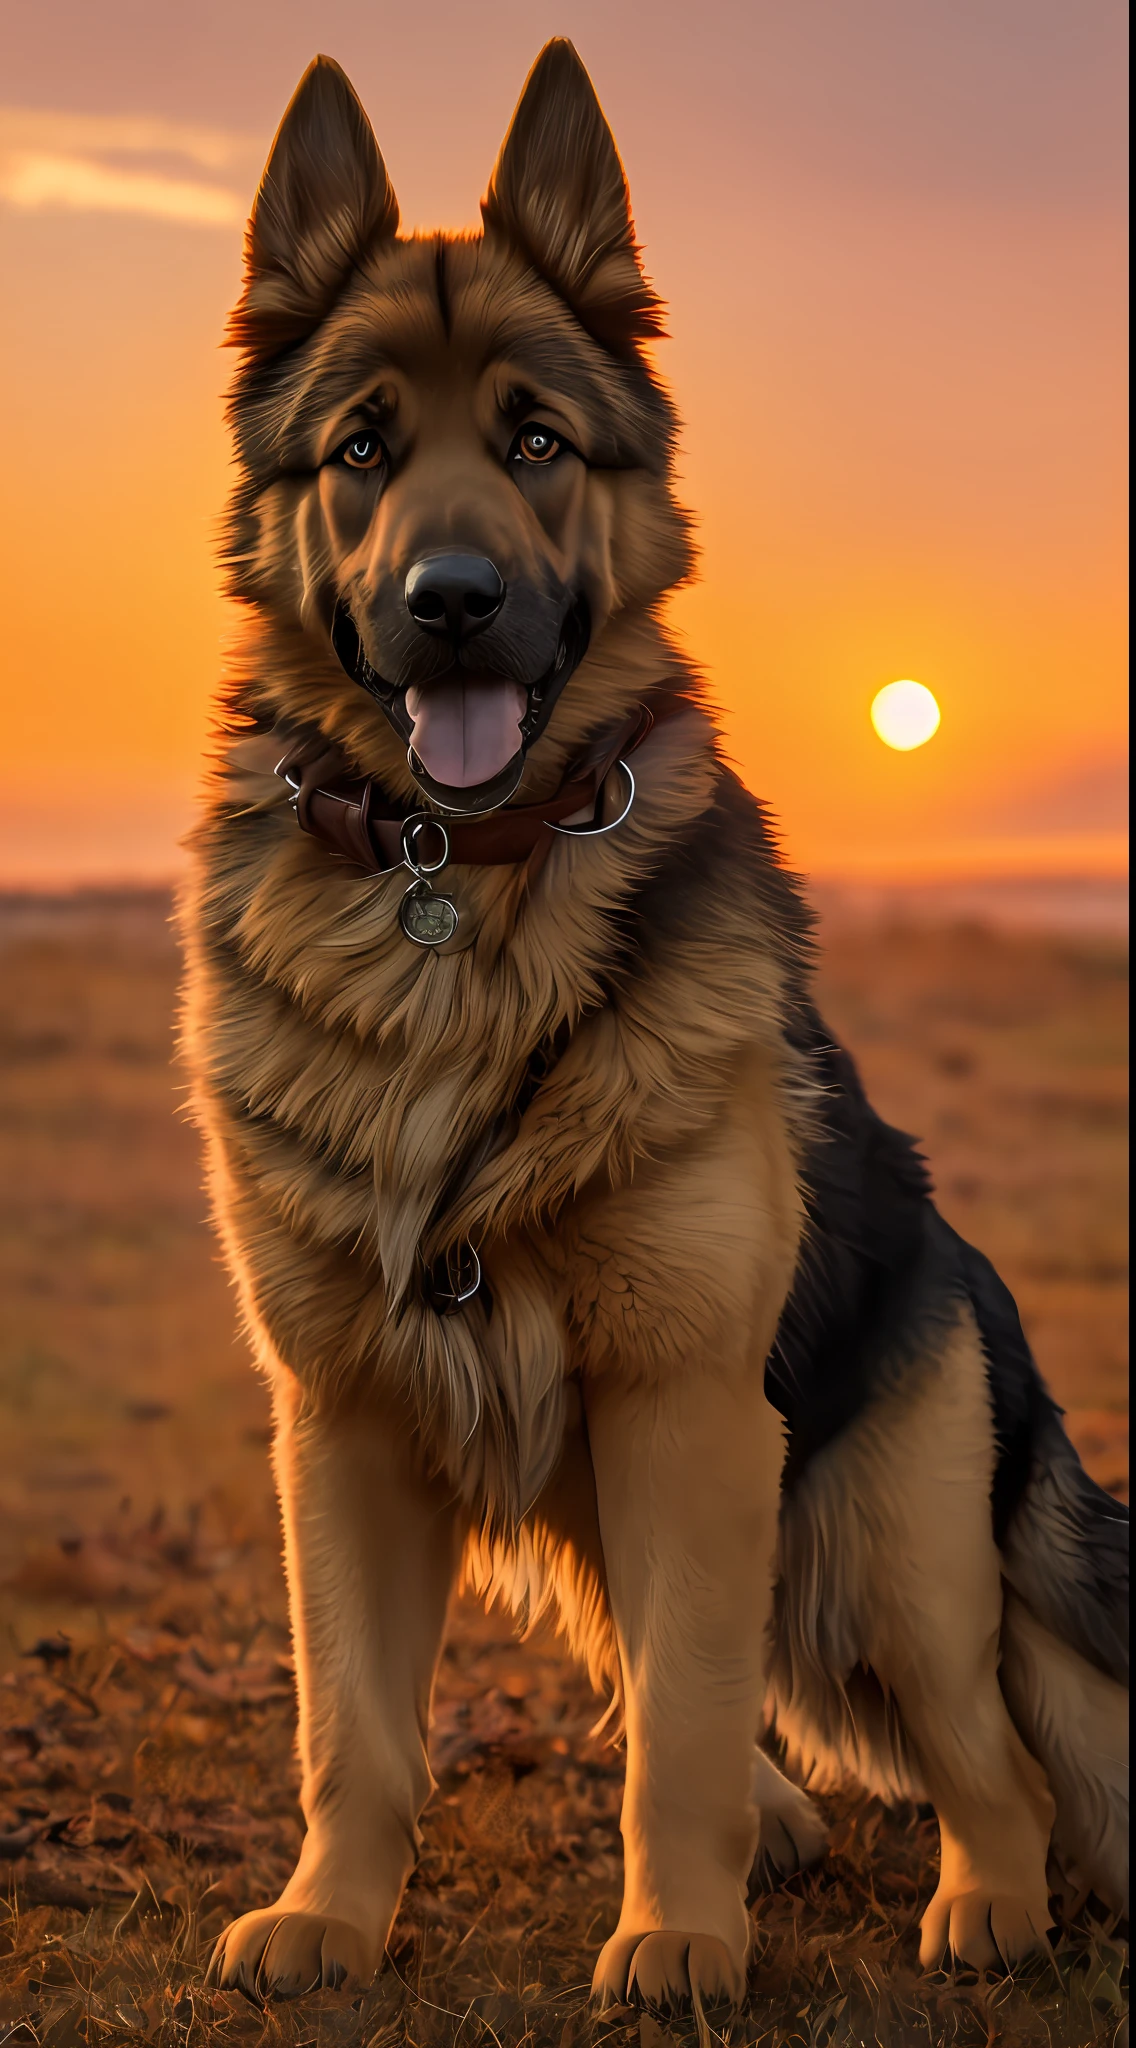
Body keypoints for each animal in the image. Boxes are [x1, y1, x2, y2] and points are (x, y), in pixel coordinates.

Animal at [186, 36, 1129, 2015]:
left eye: (537, 439)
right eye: (361, 448)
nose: (451, 604)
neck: (455, 878)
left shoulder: (688, 1412)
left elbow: (684, 1730)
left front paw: (679, 1934)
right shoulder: (343, 1424)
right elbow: (353, 1728)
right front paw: (334, 1917)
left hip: (885, 1551)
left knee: (990, 1751)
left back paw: (984, 1904)